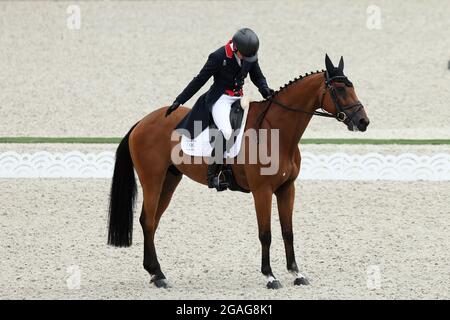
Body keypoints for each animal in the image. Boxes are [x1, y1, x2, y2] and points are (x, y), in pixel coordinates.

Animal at [107, 53, 370, 288]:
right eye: (340, 90)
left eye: (352, 87)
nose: (363, 122)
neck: (277, 132)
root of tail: (141, 123)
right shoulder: (262, 190)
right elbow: (266, 233)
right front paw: (270, 276)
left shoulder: (287, 188)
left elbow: (288, 232)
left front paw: (297, 273)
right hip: (152, 180)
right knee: (148, 220)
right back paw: (158, 275)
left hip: (170, 180)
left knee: (152, 221)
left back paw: (155, 273)